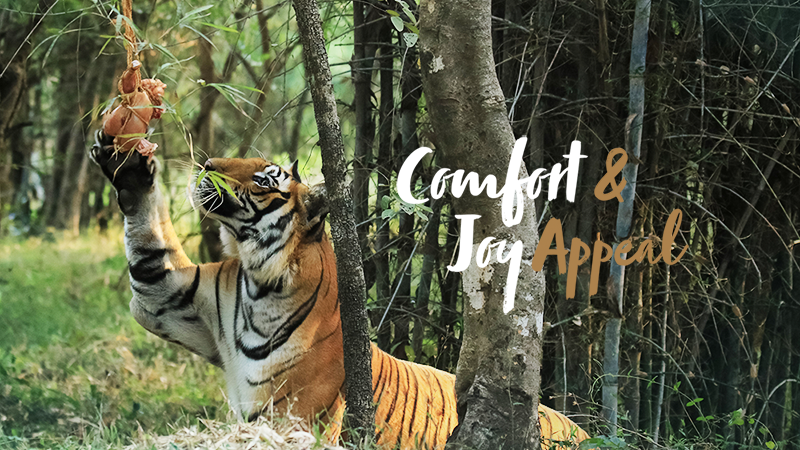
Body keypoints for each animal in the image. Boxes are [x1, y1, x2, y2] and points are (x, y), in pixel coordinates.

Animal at [90, 130, 589, 449]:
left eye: (265, 178)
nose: (208, 164)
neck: (258, 287)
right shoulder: (170, 295)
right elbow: (150, 253)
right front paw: (129, 169)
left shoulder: (291, 418)